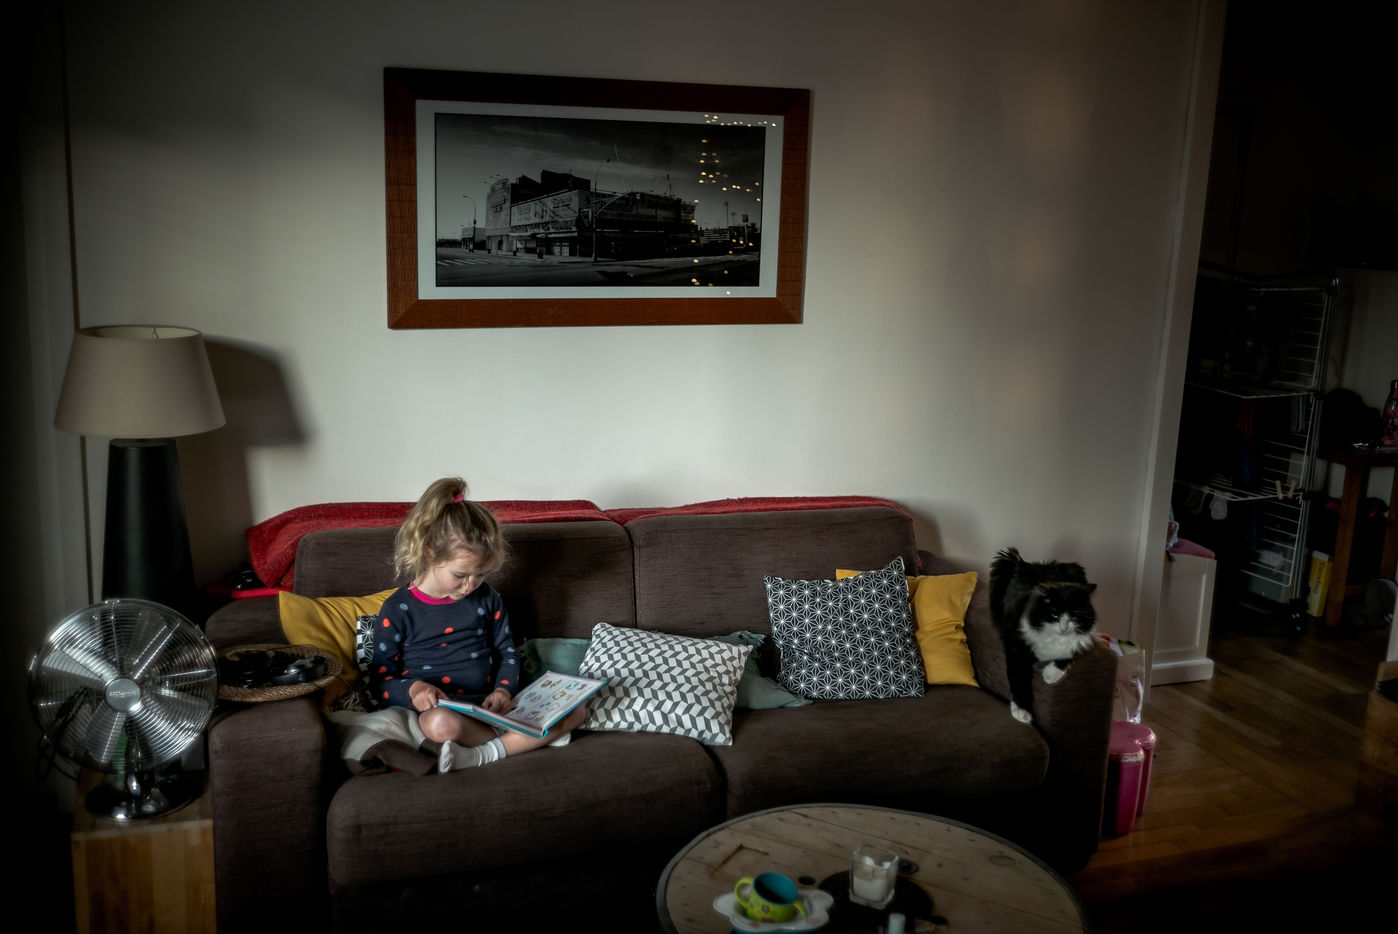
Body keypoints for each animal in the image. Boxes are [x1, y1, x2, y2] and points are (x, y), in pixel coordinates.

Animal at [989, 547, 1098, 725]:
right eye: (1054, 615)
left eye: (1074, 615)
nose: (1063, 628)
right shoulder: (1016, 647)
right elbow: (1019, 679)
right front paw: (1022, 712)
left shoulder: (1083, 640)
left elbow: (1070, 653)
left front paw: (1050, 675)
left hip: (1075, 568)